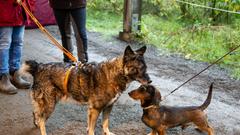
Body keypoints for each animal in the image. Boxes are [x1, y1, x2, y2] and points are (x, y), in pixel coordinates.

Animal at [21, 45, 152, 135]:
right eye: (139, 68)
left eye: (146, 68)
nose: (150, 81)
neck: (113, 74)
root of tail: (38, 67)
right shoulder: (95, 109)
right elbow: (93, 127)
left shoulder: (107, 107)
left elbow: (105, 123)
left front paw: (107, 133)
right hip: (50, 104)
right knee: (42, 119)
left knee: (37, 114)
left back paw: (36, 124)